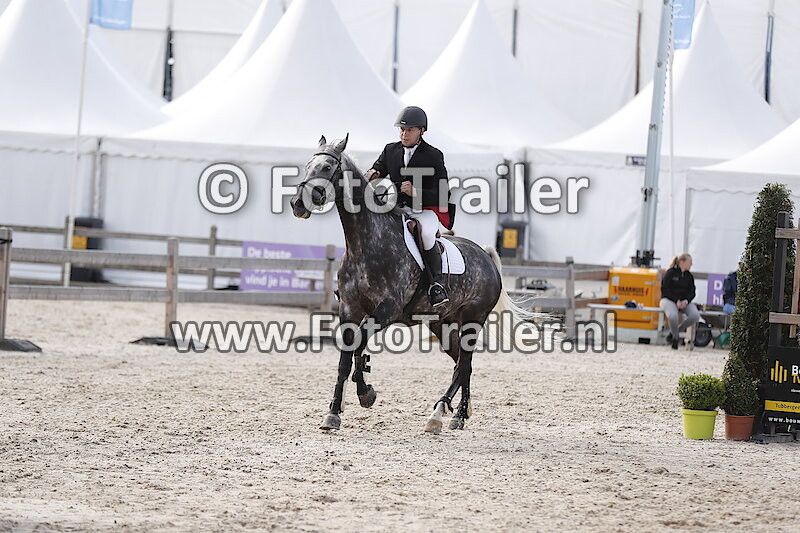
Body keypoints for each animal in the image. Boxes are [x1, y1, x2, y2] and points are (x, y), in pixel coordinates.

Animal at [290, 134, 531, 433]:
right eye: (307, 166)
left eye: (326, 168)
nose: (298, 205)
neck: (366, 242)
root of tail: (486, 256)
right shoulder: (349, 310)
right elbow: (346, 357)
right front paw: (334, 412)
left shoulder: (386, 310)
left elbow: (358, 345)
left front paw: (365, 393)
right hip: (442, 323)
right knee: (461, 363)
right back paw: (459, 414)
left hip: (473, 319)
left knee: (464, 365)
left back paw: (440, 414)